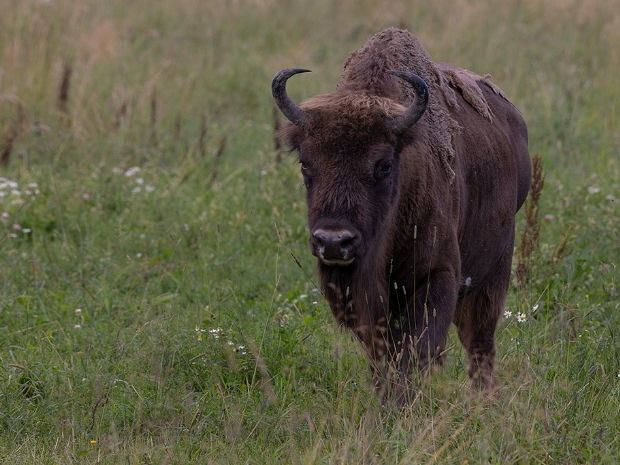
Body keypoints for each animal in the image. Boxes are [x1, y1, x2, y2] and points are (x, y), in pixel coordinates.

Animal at [274, 28, 532, 402]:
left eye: (383, 165)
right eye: (306, 163)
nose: (334, 242)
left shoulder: (437, 276)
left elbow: (416, 349)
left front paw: (400, 404)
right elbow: (382, 353)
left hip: (494, 271)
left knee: (479, 342)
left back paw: (482, 400)